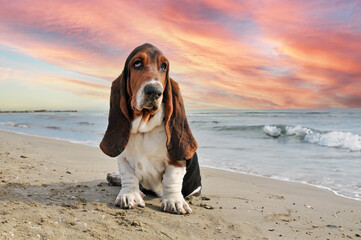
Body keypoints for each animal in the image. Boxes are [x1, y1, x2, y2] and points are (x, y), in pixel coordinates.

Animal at [100, 43, 201, 214]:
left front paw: (174, 201)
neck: (144, 130)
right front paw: (129, 195)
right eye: (137, 63)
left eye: (164, 66)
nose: (154, 91)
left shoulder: (176, 161)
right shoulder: (123, 157)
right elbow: (128, 175)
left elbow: (171, 179)